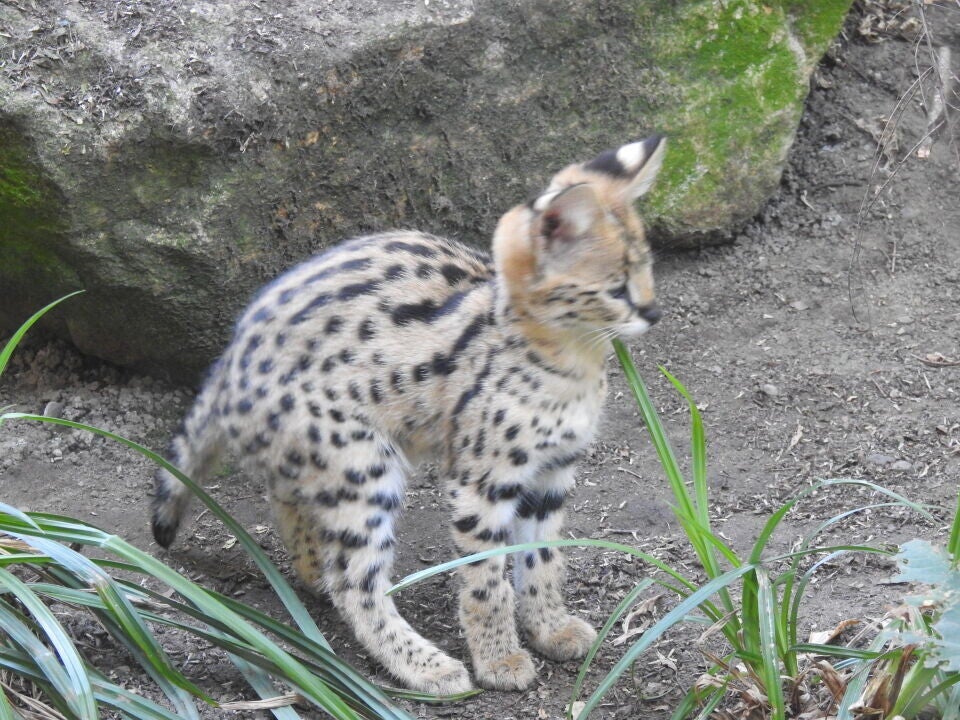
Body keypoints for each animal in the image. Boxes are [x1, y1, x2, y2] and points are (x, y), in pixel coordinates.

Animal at [151, 135, 665, 693]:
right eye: (616, 288)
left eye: (648, 269)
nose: (654, 313)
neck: (572, 362)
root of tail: (230, 360)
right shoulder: (482, 483)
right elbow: (487, 580)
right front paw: (499, 661)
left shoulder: (551, 474)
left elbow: (544, 559)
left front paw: (550, 629)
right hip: (362, 463)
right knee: (353, 582)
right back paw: (424, 665)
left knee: (287, 497)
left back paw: (310, 568)